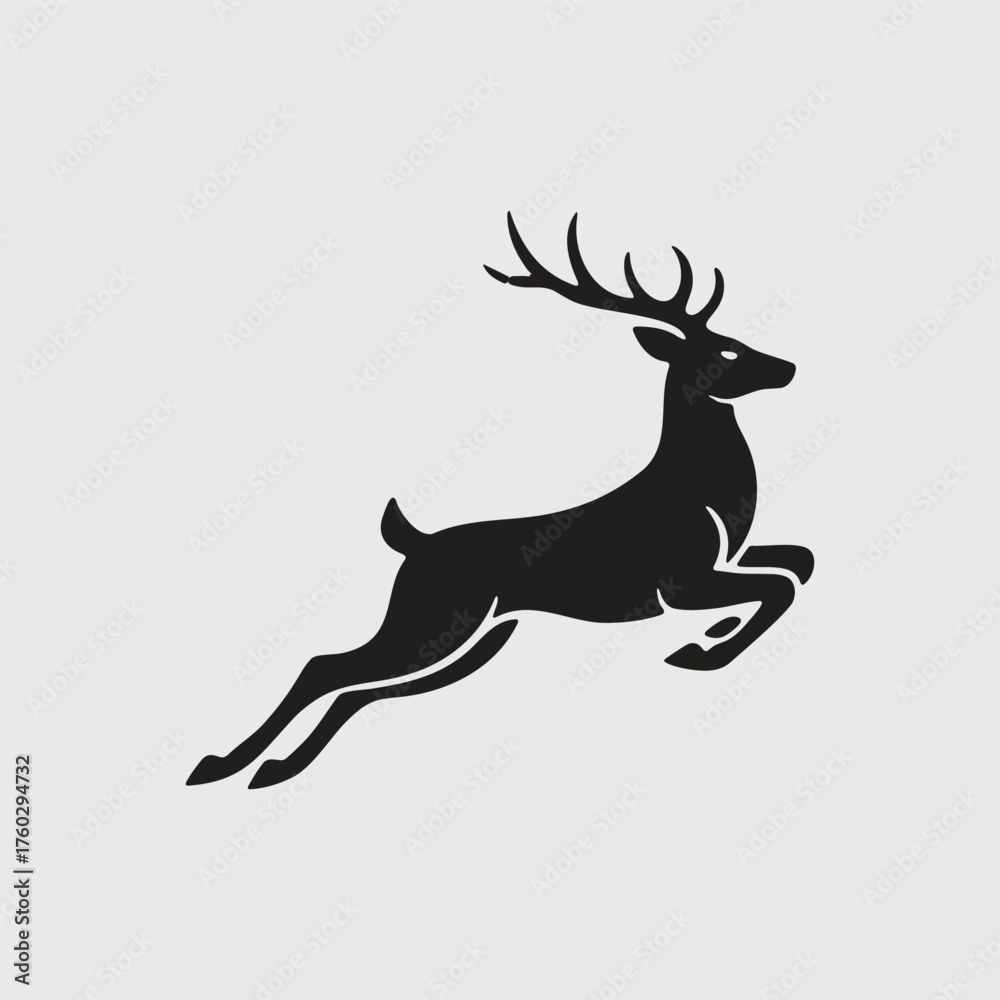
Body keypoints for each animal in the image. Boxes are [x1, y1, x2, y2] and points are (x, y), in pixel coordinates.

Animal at [188, 213, 814, 789]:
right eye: (726, 352)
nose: (788, 367)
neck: (701, 489)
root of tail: (414, 544)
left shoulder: (725, 561)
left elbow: (799, 564)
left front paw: (714, 634)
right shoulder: (680, 581)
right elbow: (780, 585)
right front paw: (702, 651)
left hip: (476, 637)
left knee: (361, 692)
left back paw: (271, 768)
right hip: (431, 616)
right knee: (327, 667)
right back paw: (223, 765)